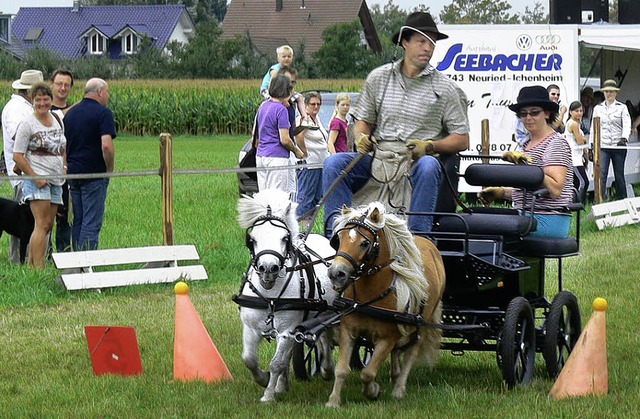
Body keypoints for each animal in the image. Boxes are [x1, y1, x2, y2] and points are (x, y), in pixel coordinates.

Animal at [234, 189, 336, 404]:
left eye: (283, 238)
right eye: (253, 238)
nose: (268, 269)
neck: (270, 295)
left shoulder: (287, 330)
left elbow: (276, 363)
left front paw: (268, 395)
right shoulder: (250, 327)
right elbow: (249, 359)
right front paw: (265, 380)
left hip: (327, 313)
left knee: (325, 338)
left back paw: (327, 369)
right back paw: (283, 384)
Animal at [324, 202, 444, 408]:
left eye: (364, 243)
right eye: (339, 239)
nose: (336, 273)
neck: (369, 297)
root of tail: (429, 243)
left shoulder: (388, 337)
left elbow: (368, 372)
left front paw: (373, 391)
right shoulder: (348, 331)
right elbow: (342, 369)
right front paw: (333, 401)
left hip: (421, 324)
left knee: (411, 353)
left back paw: (399, 389)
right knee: (397, 353)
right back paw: (395, 377)